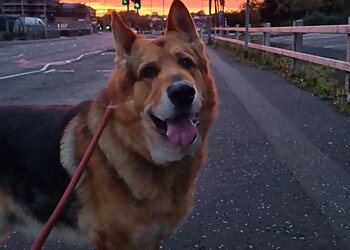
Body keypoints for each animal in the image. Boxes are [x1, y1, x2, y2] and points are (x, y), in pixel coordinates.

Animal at [0, 0, 217, 249]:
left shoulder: (150, 239)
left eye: (186, 63)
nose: (183, 93)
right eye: (148, 71)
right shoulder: (115, 242)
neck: (138, 148)